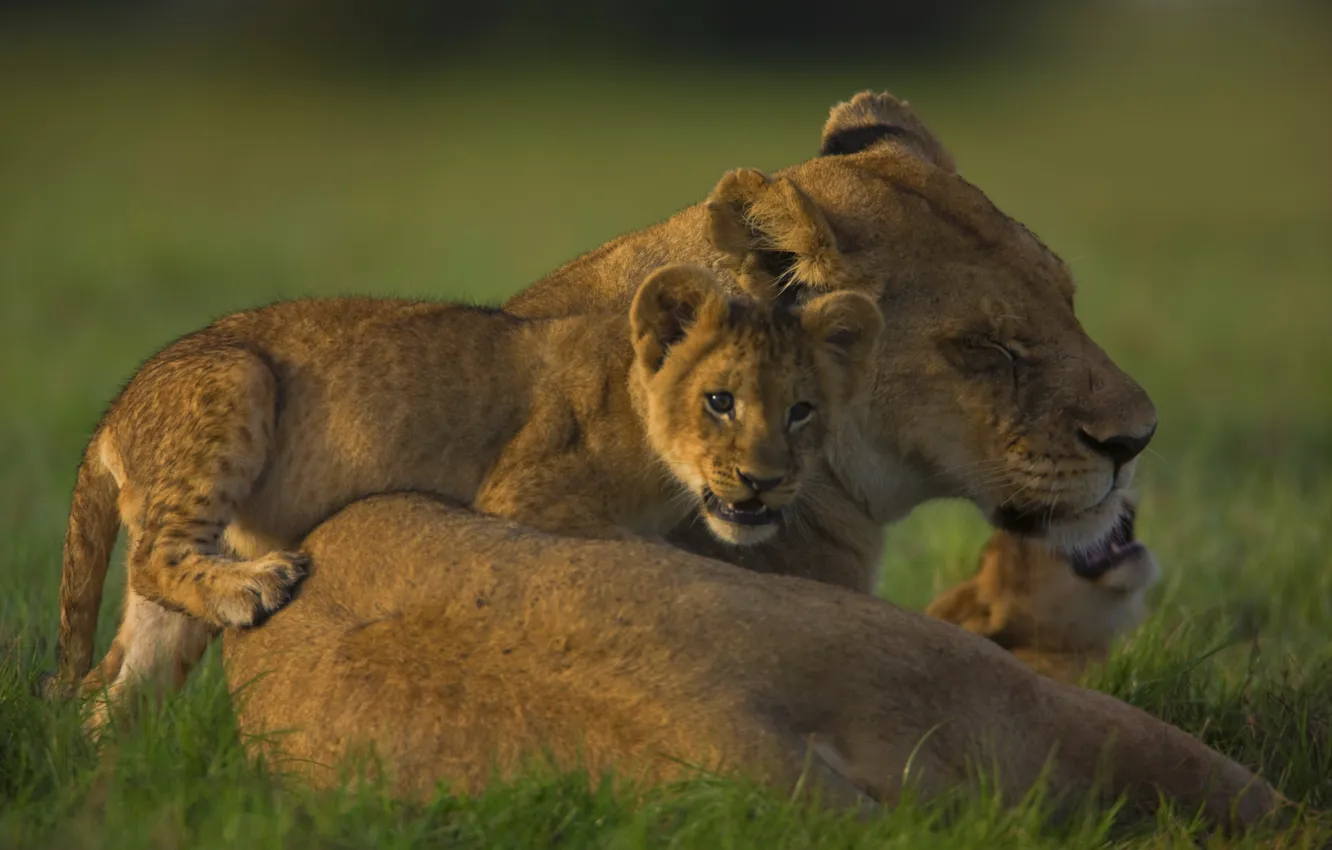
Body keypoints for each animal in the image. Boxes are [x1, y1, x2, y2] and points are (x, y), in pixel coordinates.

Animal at [49, 264, 881, 730]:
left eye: (801, 411)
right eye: (719, 401)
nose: (765, 482)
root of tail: (113, 410)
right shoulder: (522, 493)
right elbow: (638, 545)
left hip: (172, 602)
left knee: (111, 687)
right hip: (237, 376)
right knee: (154, 559)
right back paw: (256, 585)